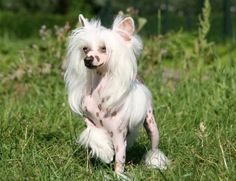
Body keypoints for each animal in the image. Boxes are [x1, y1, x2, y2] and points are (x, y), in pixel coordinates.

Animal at [63, 14, 169, 174]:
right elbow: (94, 134)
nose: (87, 59)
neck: (98, 92)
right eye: (85, 49)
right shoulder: (89, 121)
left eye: (104, 48)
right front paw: (105, 152)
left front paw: (118, 175)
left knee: (154, 145)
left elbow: (120, 158)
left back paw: (155, 162)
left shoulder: (119, 134)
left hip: (151, 124)